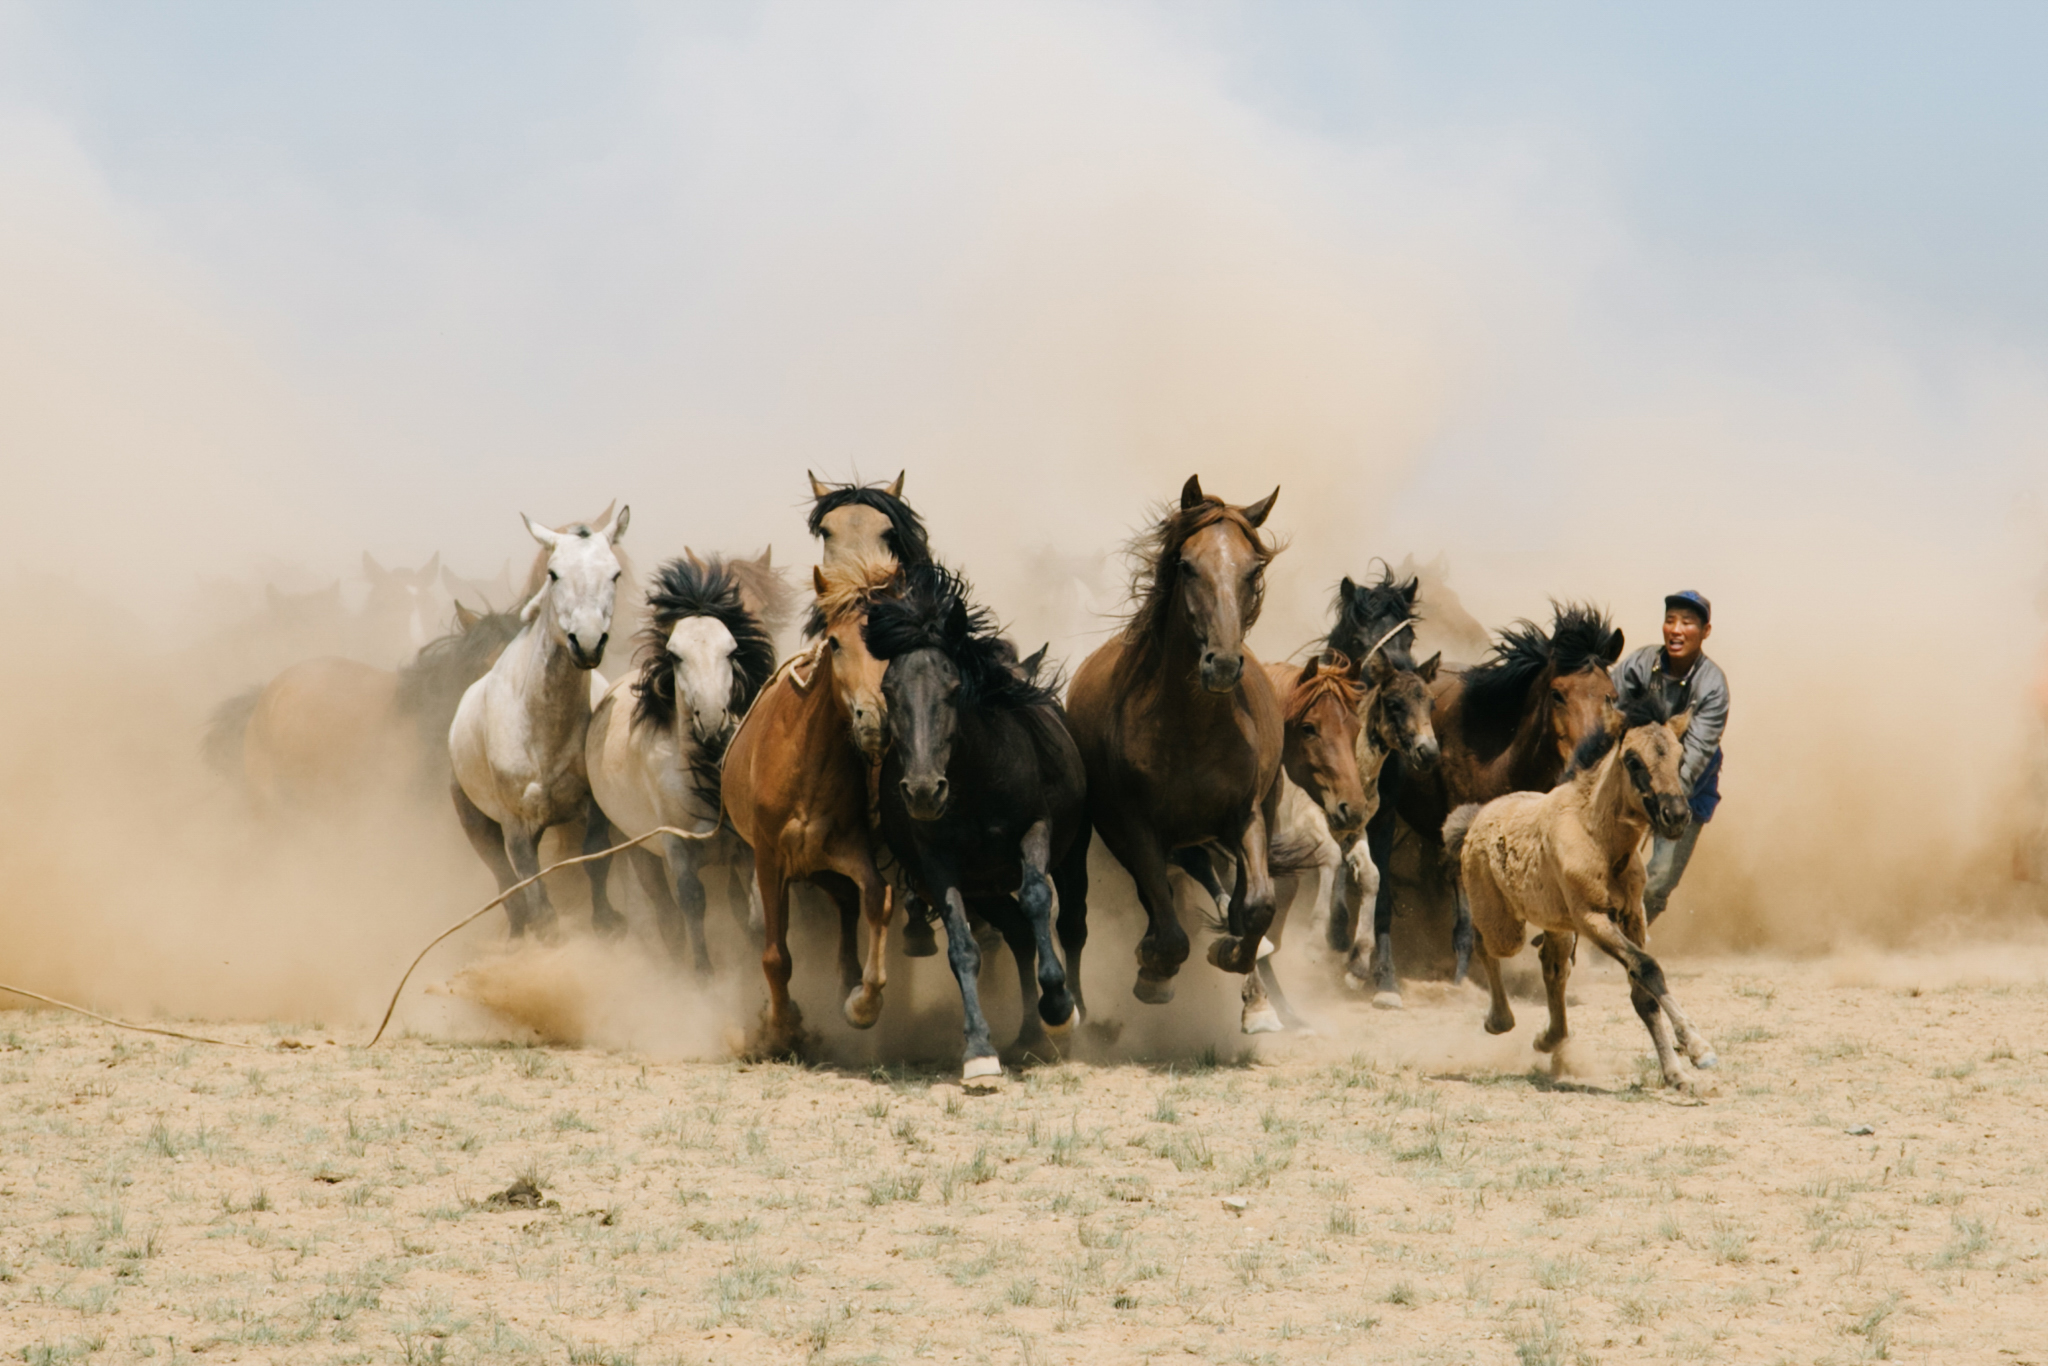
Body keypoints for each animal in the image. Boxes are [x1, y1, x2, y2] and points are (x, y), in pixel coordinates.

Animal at [450, 507, 626, 946]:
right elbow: (531, 890)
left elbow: (595, 857)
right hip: (476, 822)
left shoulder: (591, 807)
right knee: (504, 882)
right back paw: (515, 935)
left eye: (615, 574)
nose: (587, 642)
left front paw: (607, 921)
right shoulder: (515, 825)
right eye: (554, 573)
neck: (543, 731)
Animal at [598, 552, 786, 970]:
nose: (713, 720)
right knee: (666, 914)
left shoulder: (745, 846)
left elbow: (755, 916)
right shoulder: (677, 849)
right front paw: (703, 975)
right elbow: (692, 903)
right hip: (635, 848)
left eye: (731, 650)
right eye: (675, 655)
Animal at [720, 548, 897, 1056]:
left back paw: (847, 980)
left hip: (817, 865)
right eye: (835, 643)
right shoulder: (768, 857)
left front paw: (862, 1002)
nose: (874, 720)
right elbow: (775, 955)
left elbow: (876, 896)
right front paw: (782, 1028)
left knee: (847, 901)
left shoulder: (845, 847)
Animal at [860, 561, 1089, 1081]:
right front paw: (980, 1052)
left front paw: (1059, 1007)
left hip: (1075, 853)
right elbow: (963, 948)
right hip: (986, 889)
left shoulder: (1035, 831)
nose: (924, 791)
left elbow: (1038, 898)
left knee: (1069, 924)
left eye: (952, 688)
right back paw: (1027, 1034)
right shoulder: (937, 861)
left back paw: (1073, 1015)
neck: (978, 784)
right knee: (1019, 936)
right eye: (889, 690)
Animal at [1064, 475, 1286, 1032]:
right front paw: (1154, 974)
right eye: (1186, 565)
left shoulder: (1246, 815)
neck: (1192, 730)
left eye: (1253, 569)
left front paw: (1235, 958)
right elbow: (1167, 930)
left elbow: (1257, 906)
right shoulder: (1136, 825)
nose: (1223, 665)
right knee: (1163, 895)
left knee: (1230, 891)